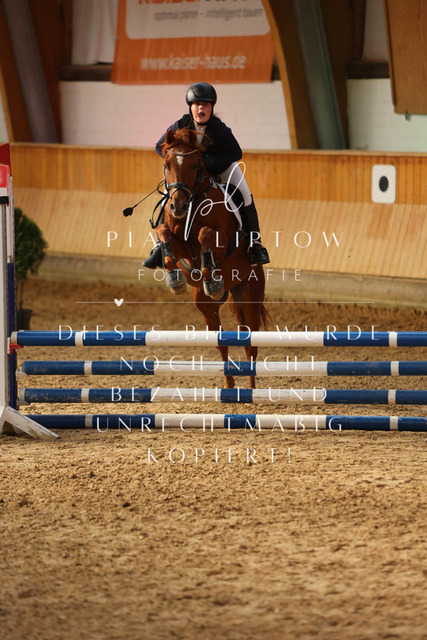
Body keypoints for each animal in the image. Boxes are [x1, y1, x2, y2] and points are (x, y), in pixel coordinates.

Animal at [154, 128, 269, 388]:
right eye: (166, 164)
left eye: (196, 165)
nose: (178, 206)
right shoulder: (181, 247)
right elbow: (165, 234)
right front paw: (174, 279)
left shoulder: (219, 241)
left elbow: (205, 235)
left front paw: (210, 275)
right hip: (206, 306)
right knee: (221, 342)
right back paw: (229, 385)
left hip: (250, 294)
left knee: (251, 344)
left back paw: (252, 389)